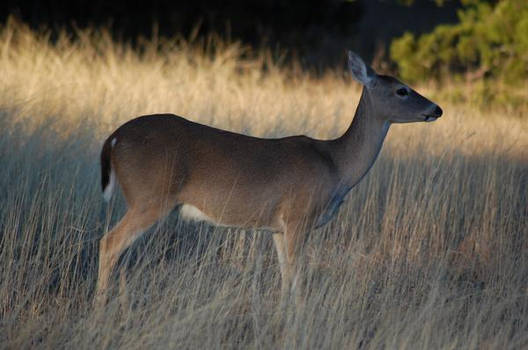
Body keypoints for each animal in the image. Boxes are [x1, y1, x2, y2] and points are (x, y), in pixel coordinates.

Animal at [95, 50, 442, 302]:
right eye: (401, 90)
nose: (436, 109)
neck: (336, 164)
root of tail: (114, 138)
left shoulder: (278, 227)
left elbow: (286, 279)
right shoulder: (299, 216)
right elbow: (298, 281)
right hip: (150, 197)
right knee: (108, 243)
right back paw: (101, 308)